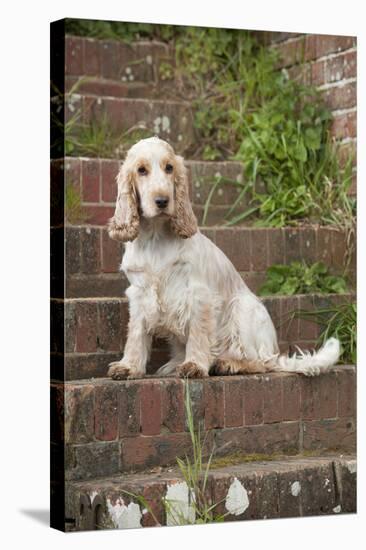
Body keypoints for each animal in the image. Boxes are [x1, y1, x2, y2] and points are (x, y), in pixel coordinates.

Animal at [106, 136, 340, 382]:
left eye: (169, 168)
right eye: (141, 170)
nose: (162, 201)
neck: (155, 236)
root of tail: (275, 352)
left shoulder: (199, 295)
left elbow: (199, 334)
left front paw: (195, 365)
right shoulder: (140, 294)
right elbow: (136, 335)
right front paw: (129, 367)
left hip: (243, 308)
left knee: (260, 362)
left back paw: (228, 363)